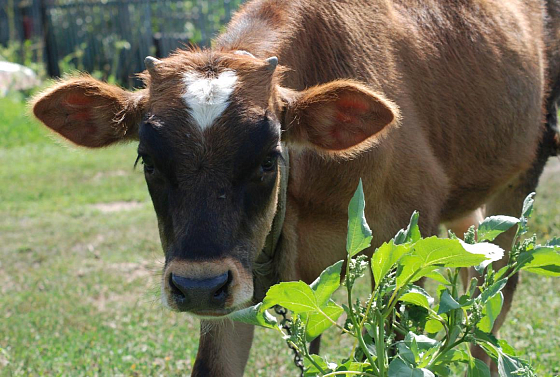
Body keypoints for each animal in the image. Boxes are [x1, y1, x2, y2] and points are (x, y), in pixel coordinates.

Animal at [32, 0, 556, 374]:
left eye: (269, 158)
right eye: (149, 161)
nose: (196, 286)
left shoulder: (405, 235)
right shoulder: (237, 282)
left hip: (523, 175)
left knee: (491, 305)